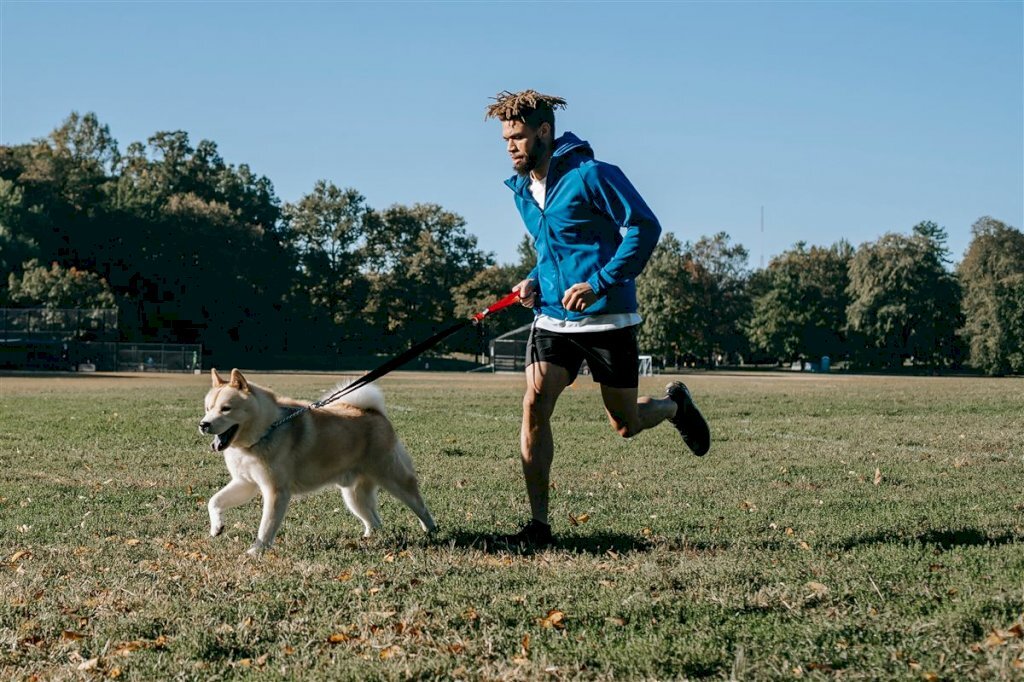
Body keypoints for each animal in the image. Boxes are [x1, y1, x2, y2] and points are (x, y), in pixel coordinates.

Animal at [199, 366, 436, 552]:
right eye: (208, 408)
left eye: (226, 409)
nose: (203, 424)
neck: (266, 429)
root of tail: (376, 413)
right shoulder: (245, 483)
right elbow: (214, 501)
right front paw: (216, 527)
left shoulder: (276, 492)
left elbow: (266, 526)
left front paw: (256, 552)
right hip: (354, 495)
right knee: (375, 521)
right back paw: (368, 539)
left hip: (393, 479)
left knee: (419, 505)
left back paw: (431, 530)